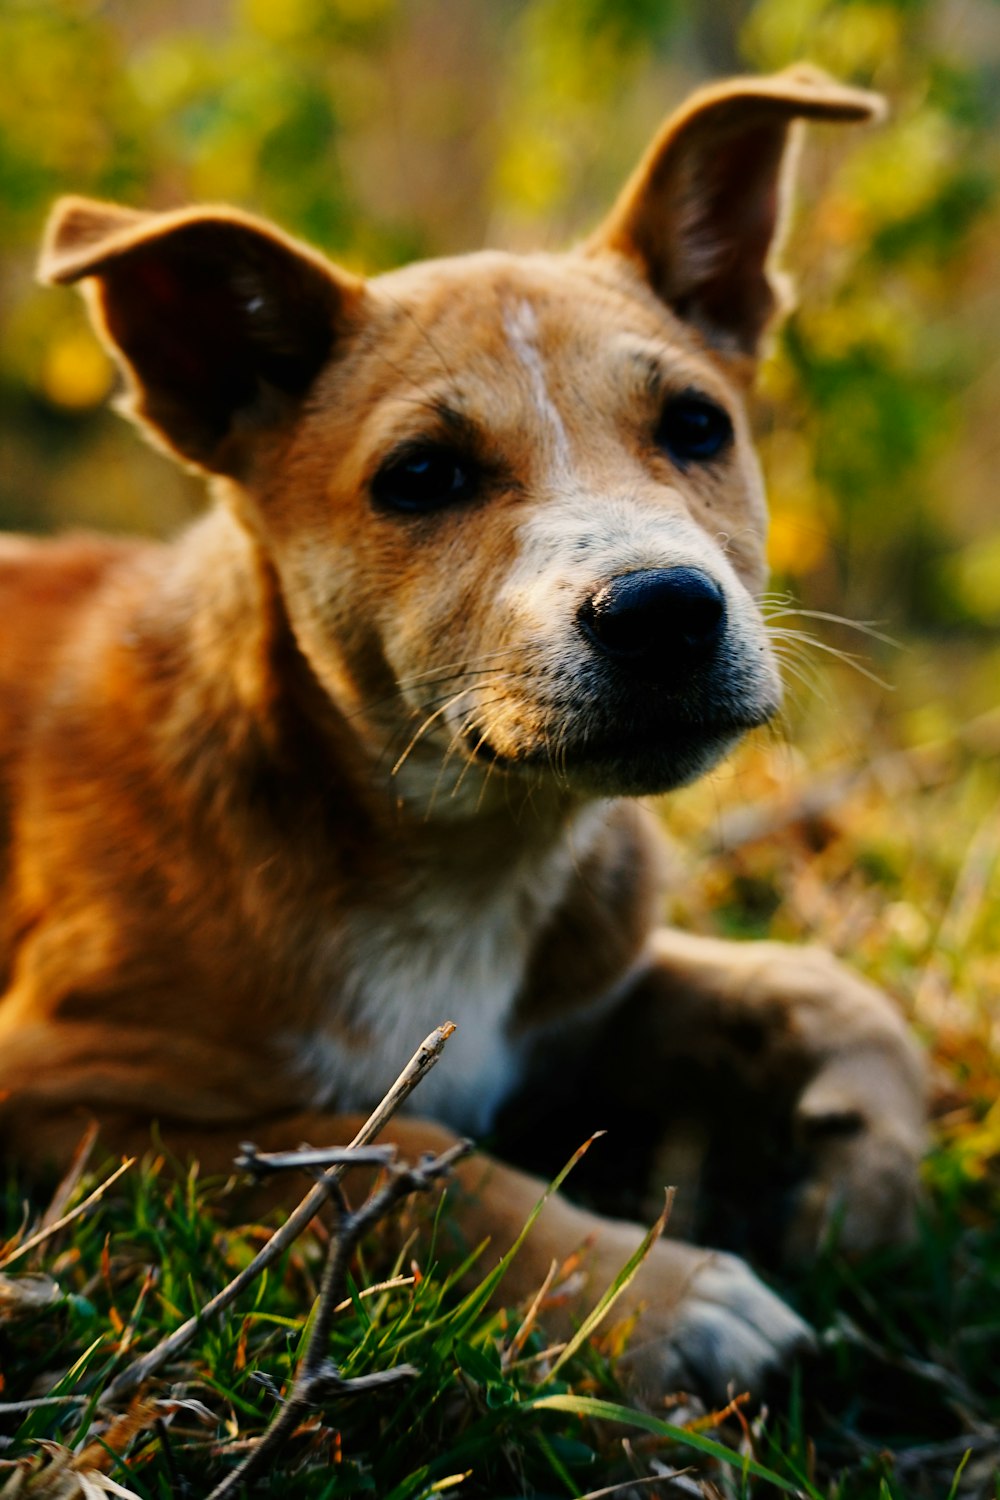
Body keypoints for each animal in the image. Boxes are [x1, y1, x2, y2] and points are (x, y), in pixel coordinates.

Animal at [0, 67, 929, 1404]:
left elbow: (825, 989)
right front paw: (663, 1302)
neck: (466, 862)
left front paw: (857, 1181)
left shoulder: (589, 988)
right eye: (422, 475)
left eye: (697, 425)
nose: (664, 612)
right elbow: (393, 1156)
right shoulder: (83, 1095)